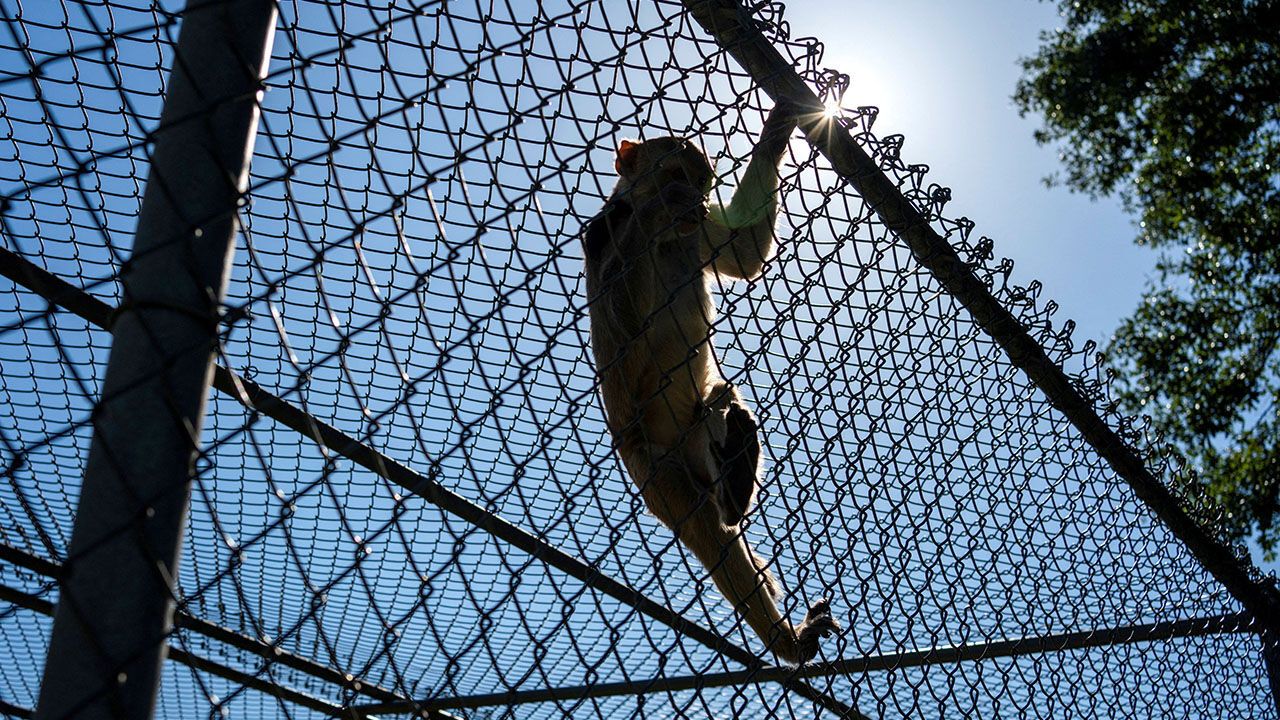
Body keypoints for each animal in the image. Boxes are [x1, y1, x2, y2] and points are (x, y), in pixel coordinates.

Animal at [581, 104, 839, 665]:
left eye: (704, 184)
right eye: (677, 174)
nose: (692, 202)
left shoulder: (695, 233)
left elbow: (744, 253)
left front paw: (780, 125)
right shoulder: (604, 233)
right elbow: (623, 350)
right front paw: (655, 210)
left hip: (698, 442)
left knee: (719, 403)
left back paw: (737, 470)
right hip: (654, 467)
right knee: (707, 529)